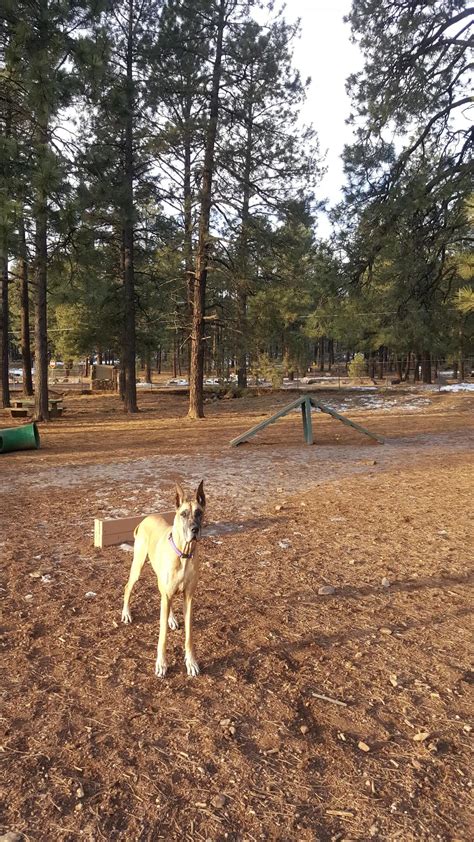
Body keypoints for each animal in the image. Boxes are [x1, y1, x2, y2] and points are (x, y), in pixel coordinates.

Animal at [120, 480, 206, 676]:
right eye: (183, 514)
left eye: (199, 513)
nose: (195, 529)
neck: (184, 553)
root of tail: (145, 519)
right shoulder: (166, 594)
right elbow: (162, 636)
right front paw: (161, 663)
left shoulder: (189, 597)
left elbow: (189, 635)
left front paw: (191, 662)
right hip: (138, 565)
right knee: (128, 587)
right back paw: (126, 613)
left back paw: (172, 618)